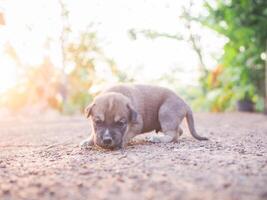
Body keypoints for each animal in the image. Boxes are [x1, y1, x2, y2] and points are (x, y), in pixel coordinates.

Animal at [80, 83, 208, 149]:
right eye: (97, 122)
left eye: (121, 124)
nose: (107, 140)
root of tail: (185, 104)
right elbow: (93, 133)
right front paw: (88, 141)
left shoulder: (137, 124)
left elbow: (127, 134)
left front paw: (121, 143)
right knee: (179, 131)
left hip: (166, 113)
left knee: (173, 135)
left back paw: (156, 139)